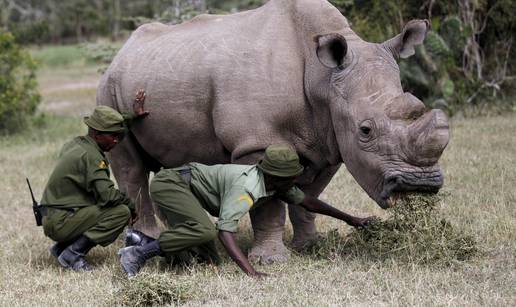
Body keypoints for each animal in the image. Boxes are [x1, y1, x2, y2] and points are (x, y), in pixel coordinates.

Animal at [97, 0, 448, 264]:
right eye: (365, 130)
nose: (421, 185)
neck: (322, 78)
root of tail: (121, 52)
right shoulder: (257, 143)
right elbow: (268, 205)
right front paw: (271, 261)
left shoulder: (328, 143)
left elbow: (309, 197)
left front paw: (310, 246)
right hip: (110, 89)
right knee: (130, 167)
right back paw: (147, 242)